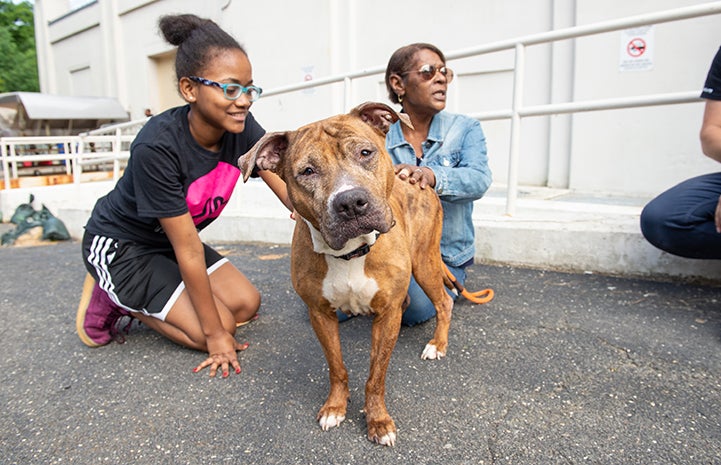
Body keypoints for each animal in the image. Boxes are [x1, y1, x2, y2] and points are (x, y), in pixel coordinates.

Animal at [238, 102, 450, 446]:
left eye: (365, 152)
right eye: (307, 171)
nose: (350, 202)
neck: (350, 252)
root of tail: (417, 177)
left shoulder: (386, 311)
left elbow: (376, 375)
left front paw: (378, 420)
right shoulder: (320, 313)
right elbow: (336, 367)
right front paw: (335, 407)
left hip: (425, 261)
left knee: (444, 302)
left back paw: (437, 345)